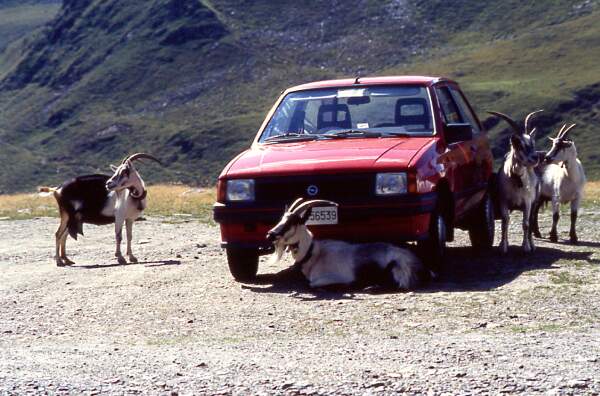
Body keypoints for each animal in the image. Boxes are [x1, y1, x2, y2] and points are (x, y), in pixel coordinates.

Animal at [266, 200, 426, 290]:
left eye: (292, 222)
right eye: (282, 219)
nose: (270, 234)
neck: (314, 253)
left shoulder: (330, 278)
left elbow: (312, 285)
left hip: (395, 267)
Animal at [488, 110, 544, 254]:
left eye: (533, 143)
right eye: (519, 145)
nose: (535, 158)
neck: (516, 179)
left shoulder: (527, 202)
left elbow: (526, 224)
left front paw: (526, 247)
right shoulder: (503, 201)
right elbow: (505, 222)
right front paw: (503, 246)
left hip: (534, 202)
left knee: (531, 221)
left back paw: (532, 244)